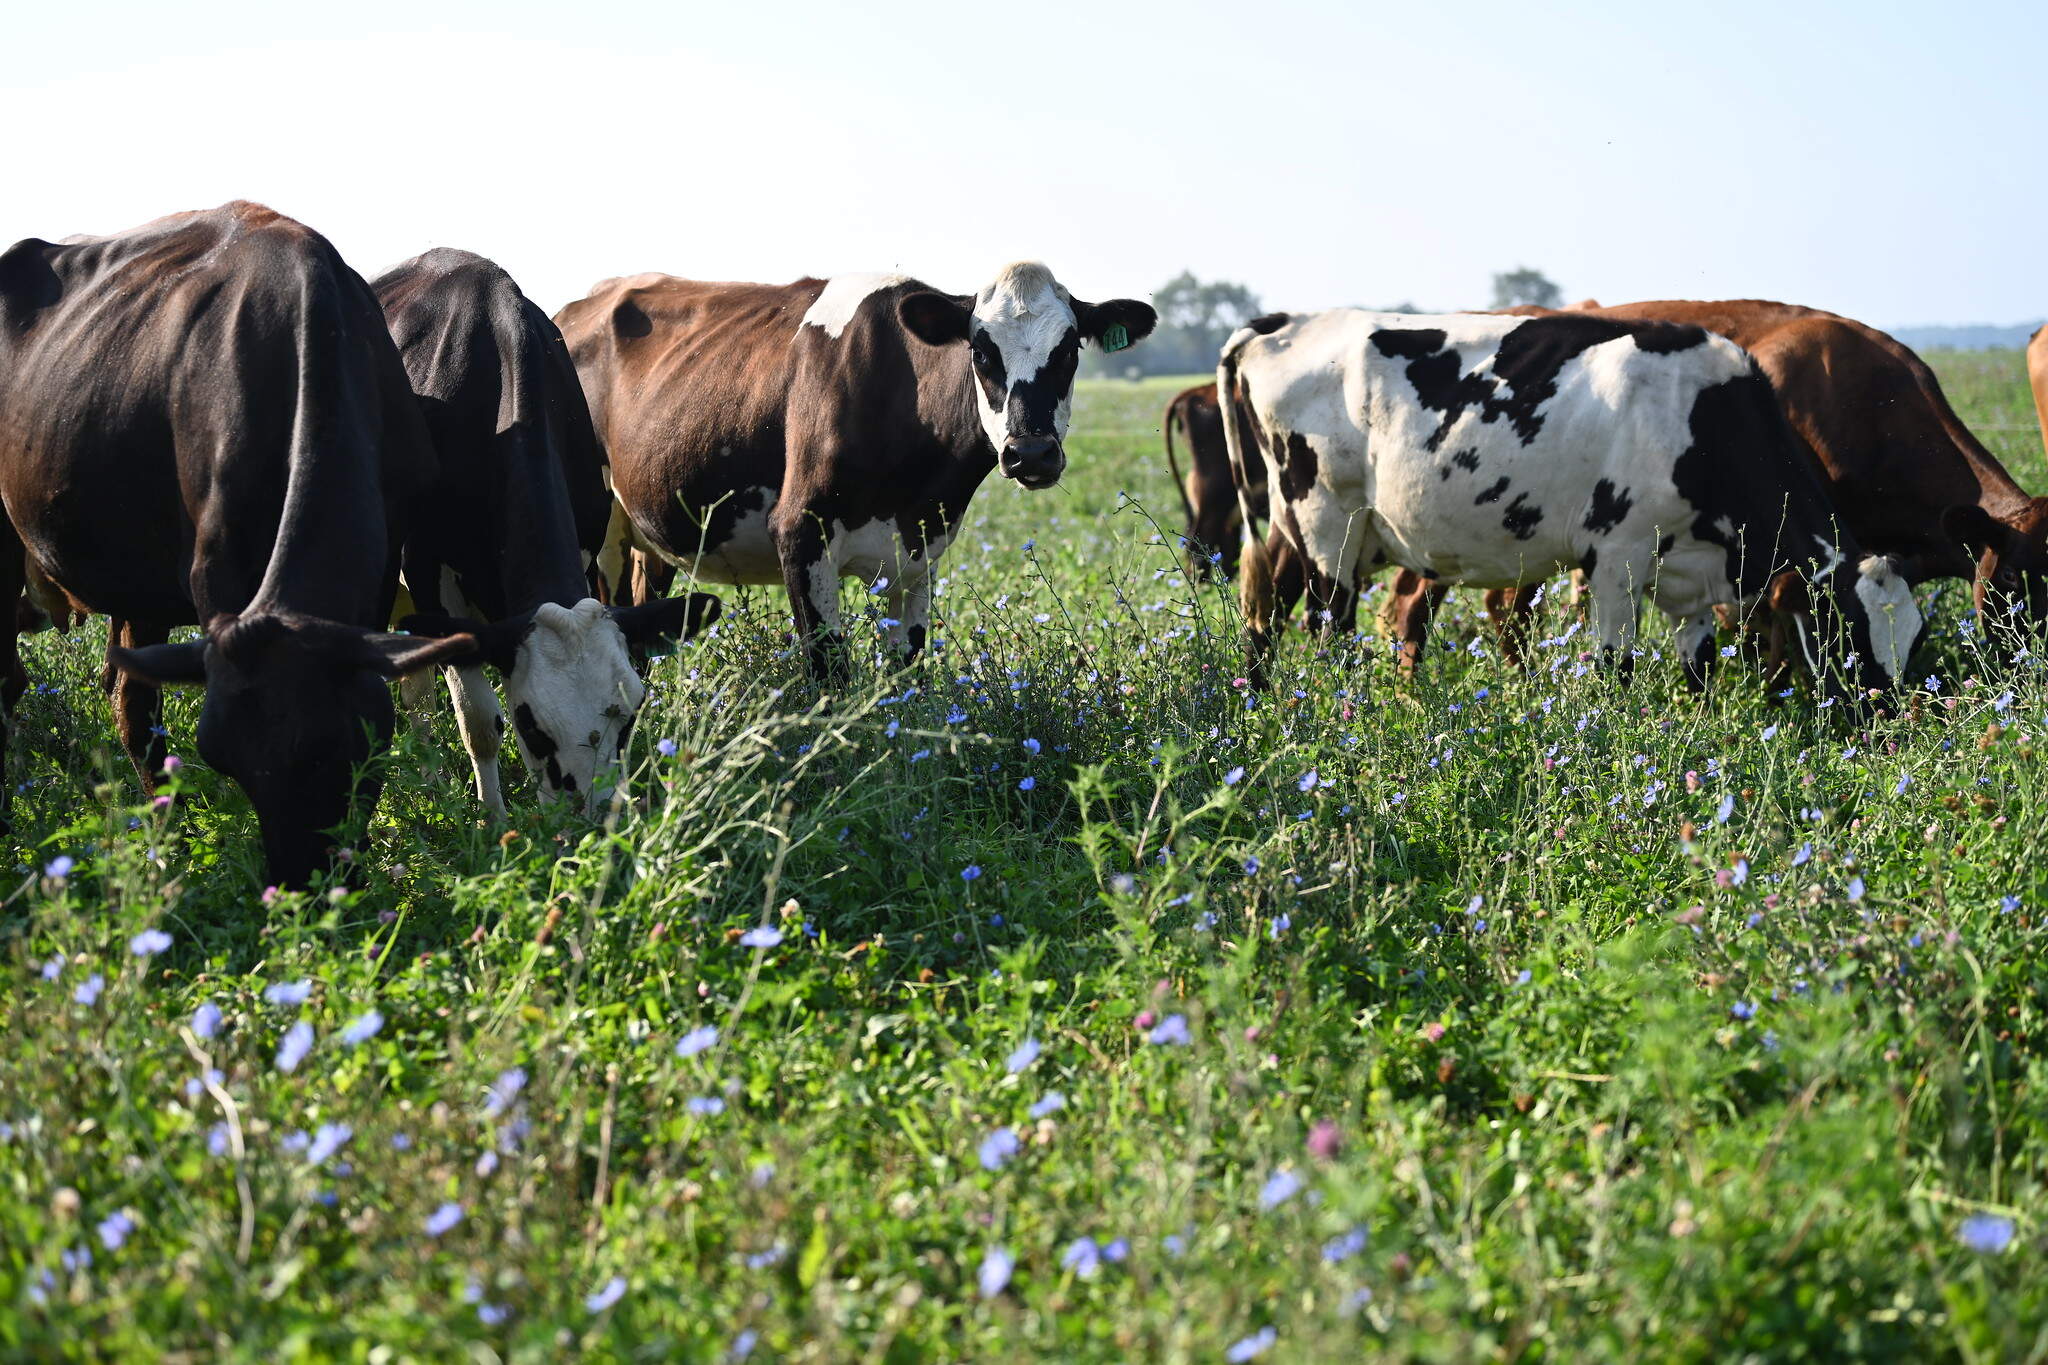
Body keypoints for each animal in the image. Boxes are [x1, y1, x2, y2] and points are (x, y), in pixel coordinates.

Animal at [368, 249, 717, 817]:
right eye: (531, 728)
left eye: (630, 717)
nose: (591, 815)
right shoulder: (427, 572)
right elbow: (478, 720)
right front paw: (491, 823)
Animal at [556, 264, 1155, 679]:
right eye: (982, 352)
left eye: (1069, 350)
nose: (1030, 453)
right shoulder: (799, 533)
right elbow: (830, 675)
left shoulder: (920, 550)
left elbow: (905, 675)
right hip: (600, 537)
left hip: (652, 533)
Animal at [1220, 309, 1924, 696]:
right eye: (1849, 634)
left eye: (1914, 639)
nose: (1885, 725)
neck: (1704, 419)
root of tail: (1283, 322)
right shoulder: (1617, 556)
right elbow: (1616, 668)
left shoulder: (1690, 578)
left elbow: (1698, 673)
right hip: (1327, 527)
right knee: (1328, 629)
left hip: (1294, 527)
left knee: (1266, 611)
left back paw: (1261, 709)